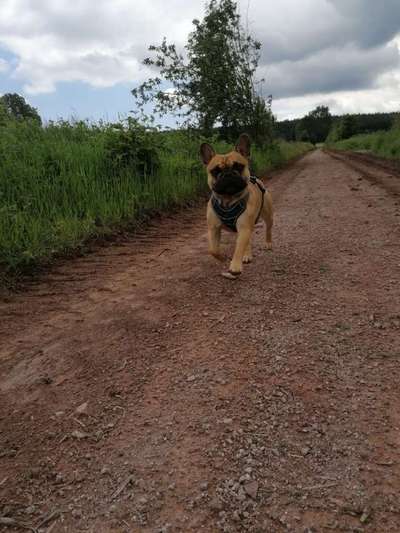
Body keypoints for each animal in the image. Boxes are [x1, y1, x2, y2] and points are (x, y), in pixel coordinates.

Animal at [199, 133, 272, 278]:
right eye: (215, 171)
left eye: (238, 167)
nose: (227, 174)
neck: (228, 201)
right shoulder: (214, 229)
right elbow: (213, 250)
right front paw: (222, 257)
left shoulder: (244, 227)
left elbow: (238, 248)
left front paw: (235, 266)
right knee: (247, 241)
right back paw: (247, 255)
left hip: (267, 215)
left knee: (268, 228)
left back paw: (268, 243)